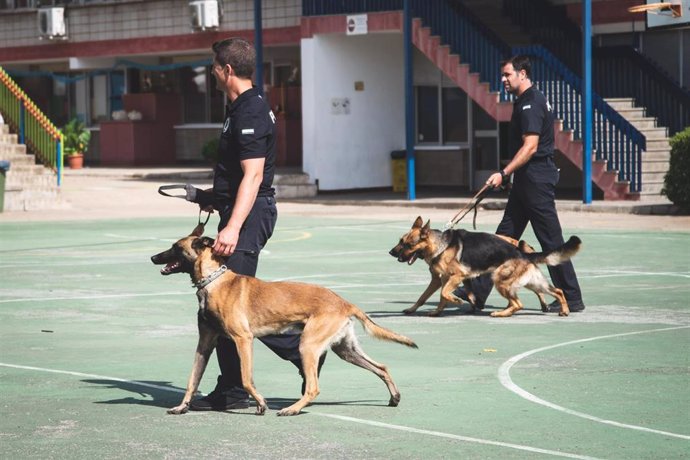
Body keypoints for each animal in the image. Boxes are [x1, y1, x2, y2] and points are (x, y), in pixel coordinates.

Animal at [151, 226, 416, 416]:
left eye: (175, 247)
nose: (153, 257)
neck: (213, 281)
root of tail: (344, 302)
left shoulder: (243, 340)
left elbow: (246, 379)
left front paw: (260, 403)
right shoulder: (204, 345)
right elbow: (192, 380)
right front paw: (182, 406)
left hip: (307, 345)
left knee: (313, 387)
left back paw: (293, 409)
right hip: (345, 349)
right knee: (381, 367)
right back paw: (394, 397)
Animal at [390, 217, 576, 318]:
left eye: (408, 245)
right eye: (400, 241)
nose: (391, 252)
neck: (439, 244)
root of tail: (522, 253)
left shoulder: (456, 276)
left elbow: (444, 294)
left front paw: (456, 300)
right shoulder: (439, 280)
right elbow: (425, 297)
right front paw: (428, 311)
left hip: (500, 280)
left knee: (519, 303)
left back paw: (501, 313)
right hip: (532, 283)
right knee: (557, 291)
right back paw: (564, 310)